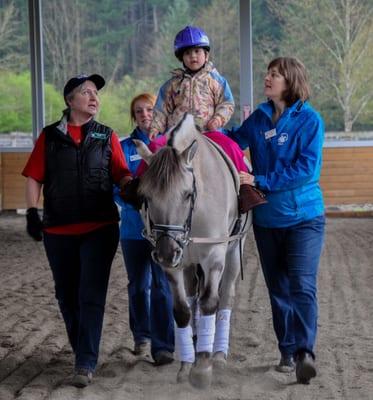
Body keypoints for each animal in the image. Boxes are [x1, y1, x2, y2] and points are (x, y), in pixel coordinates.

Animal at [134, 114, 250, 390]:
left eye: (187, 195)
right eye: (146, 197)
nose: (166, 251)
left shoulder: (214, 256)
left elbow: (210, 303)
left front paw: (203, 369)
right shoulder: (174, 265)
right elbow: (182, 310)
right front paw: (187, 365)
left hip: (234, 252)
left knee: (226, 297)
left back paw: (218, 355)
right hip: (187, 262)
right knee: (192, 297)